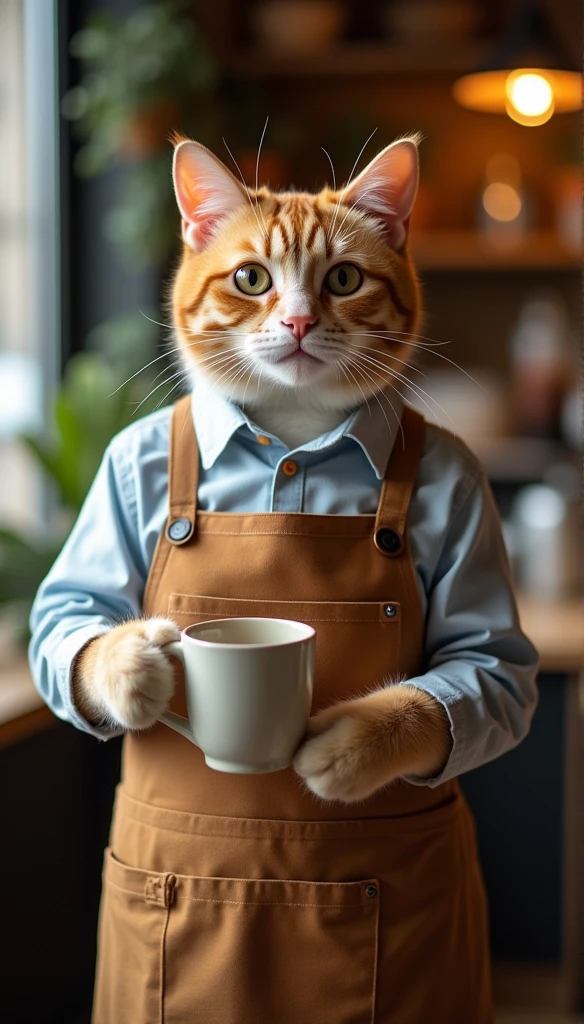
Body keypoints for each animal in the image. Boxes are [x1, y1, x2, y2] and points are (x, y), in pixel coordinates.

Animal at [29, 136, 532, 1024]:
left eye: (344, 279)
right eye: (251, 278)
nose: (297, 321)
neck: (294, 435)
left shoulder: (470, 501)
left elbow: (485, 667)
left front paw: (355, 745)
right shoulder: (118, 472)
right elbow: (69, 615)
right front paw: (132, 668)